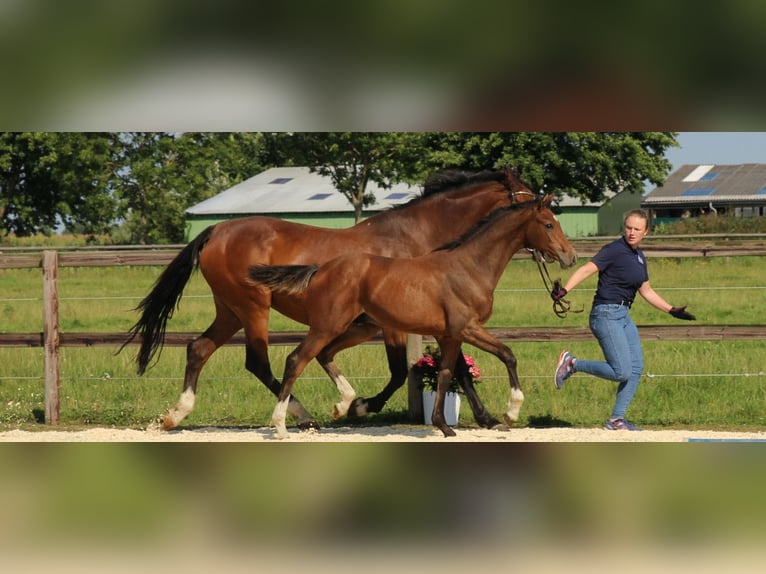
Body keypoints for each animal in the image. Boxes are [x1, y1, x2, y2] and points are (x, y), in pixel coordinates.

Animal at [123, 166, 536, 432]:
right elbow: (401, 371)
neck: (416, 237)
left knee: (199, 349)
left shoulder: (440, 321)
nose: (546, 247)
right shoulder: (399, 324)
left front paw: (487, 418)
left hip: (230, 310)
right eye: (529, 198)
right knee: (260, 362)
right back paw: (301, 418)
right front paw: (359, 406)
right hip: (253, 308)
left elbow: (459, 369)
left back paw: (176, 414)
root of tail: (217, 230)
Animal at [249, 196, 580, 438]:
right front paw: (510, 413)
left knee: (324, 355)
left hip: (355, 329)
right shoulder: (467, 328)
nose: (570, 256)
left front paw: (444, 426)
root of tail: (321, 269)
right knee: (296, 360)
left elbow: (446, 373)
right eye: (548, 224)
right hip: (327, 325)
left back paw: (346, 404)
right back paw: (282, 426)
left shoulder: (449, 335)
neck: (470, 267)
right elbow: (507, 354)